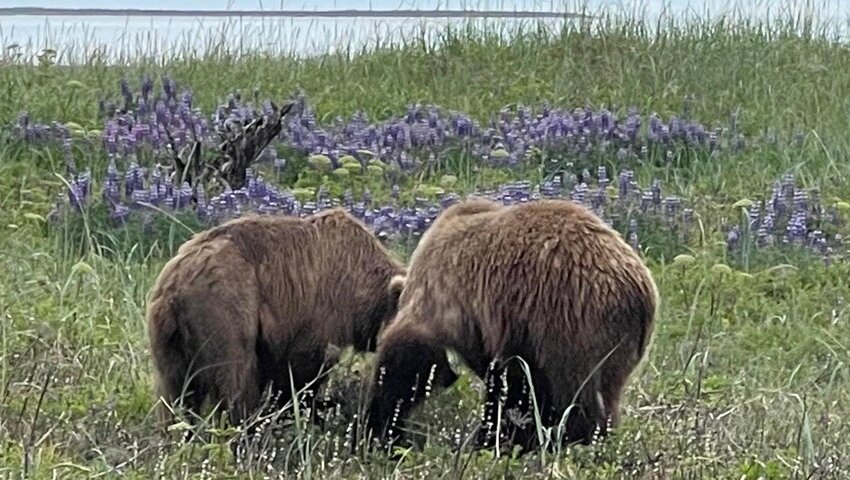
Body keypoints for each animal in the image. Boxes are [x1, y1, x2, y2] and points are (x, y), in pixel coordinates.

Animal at [146, 208, 404, 436]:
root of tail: (172, 287)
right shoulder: (321, 313)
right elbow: (302, 371)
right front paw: (302, 414)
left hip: (169, 341)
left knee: (172, 396)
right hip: (226, 310)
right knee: (235, 380)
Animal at [362, 198, 656, 454]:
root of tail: (637, 291)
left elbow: (410, 359)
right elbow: (515, 384)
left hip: (570, 321)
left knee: (574, 391)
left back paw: (572, 438)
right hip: (620, 346)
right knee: (608, 393)